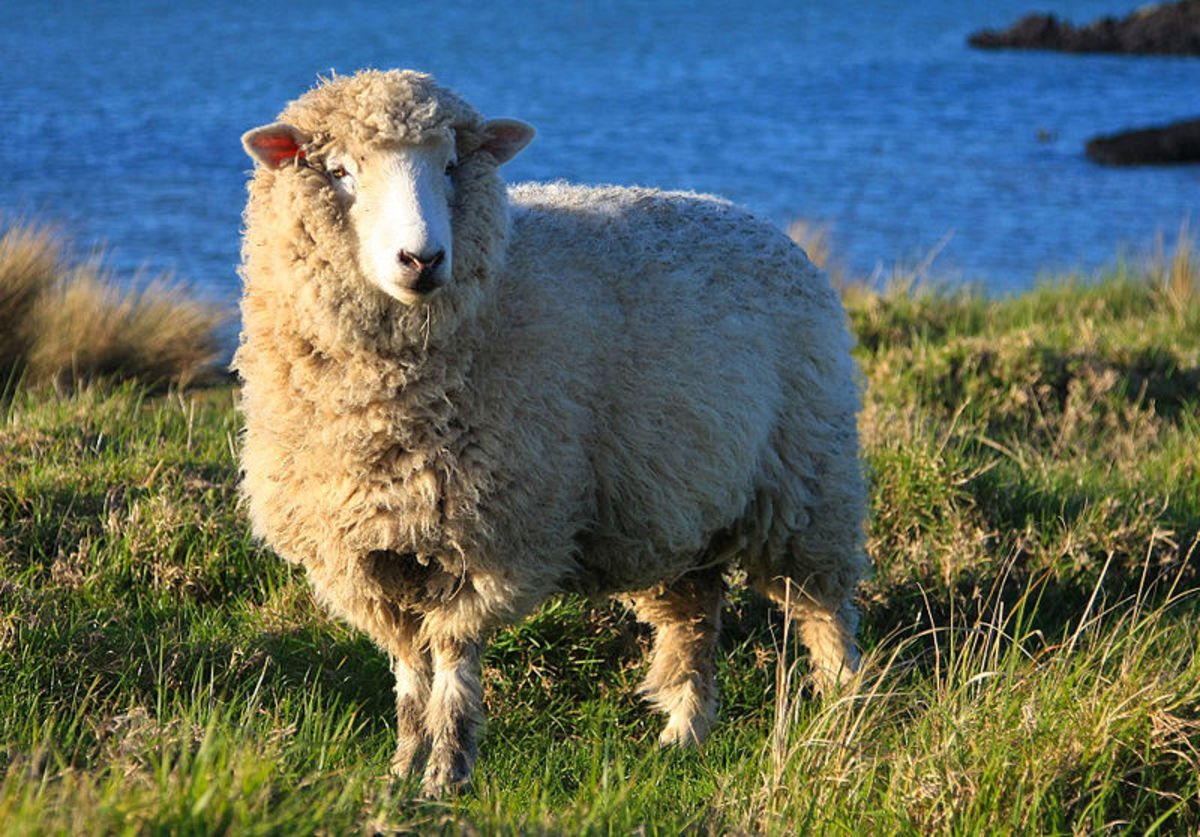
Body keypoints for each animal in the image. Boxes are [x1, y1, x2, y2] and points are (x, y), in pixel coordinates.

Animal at [236, 68, 873, 791]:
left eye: (451, 166)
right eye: (341, 170)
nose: (422, 259)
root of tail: (761, 223)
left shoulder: (491, 536)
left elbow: (450, 660)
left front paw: (446, 775)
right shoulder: (364, 553)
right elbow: (410, 671)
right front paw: (403, 767)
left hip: (806, 479)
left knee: (822, 609)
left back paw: (841, 711)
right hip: (676, 505)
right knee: (694, 616)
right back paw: (685, 732)